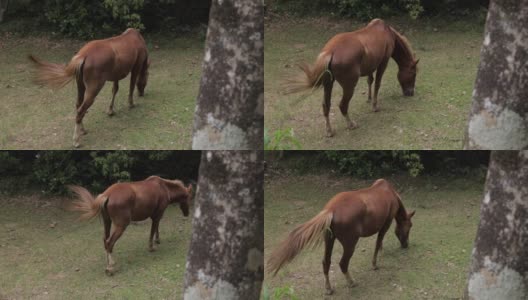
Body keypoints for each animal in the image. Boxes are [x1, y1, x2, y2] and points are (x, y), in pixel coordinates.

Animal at [266, 179, 414, 294]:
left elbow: (379, 242)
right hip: (350, 244)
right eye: (410, 226)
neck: (389, 193)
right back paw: (351, 282)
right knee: (343, 264)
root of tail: (331, 210)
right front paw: (375, 264)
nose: (406, 245)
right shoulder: (386, 224)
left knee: (326, 262)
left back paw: (328, 288)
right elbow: (378, 242)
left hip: (329, 240)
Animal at [284, 20, 420, 138]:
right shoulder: (383, 62)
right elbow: (377, 83)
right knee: (343, 105)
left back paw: (329, 131)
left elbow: (370, 80)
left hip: (328, 84)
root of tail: (330, 52)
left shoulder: (371, 65)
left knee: (326, 106)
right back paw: (351, 124)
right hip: (349, 86)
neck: (386, 32)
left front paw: (369, 98)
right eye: (413, 74)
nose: (410, 93)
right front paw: (375, 106)